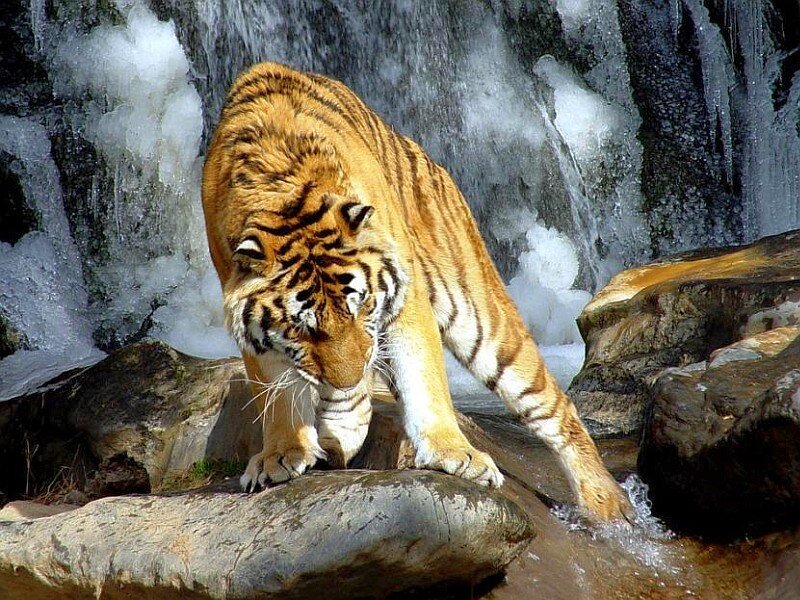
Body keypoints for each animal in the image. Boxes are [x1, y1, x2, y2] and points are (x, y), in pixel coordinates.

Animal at [201, 62, 633, 522]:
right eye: (304, 328)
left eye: (360, 306)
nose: (347, 378)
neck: (285, 197)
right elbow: (280, 392)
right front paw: (281, 455)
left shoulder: (402, 302)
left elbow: (424, 379)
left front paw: (454, 454)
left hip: (481, 317)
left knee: (556, 407)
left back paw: (607, 503)